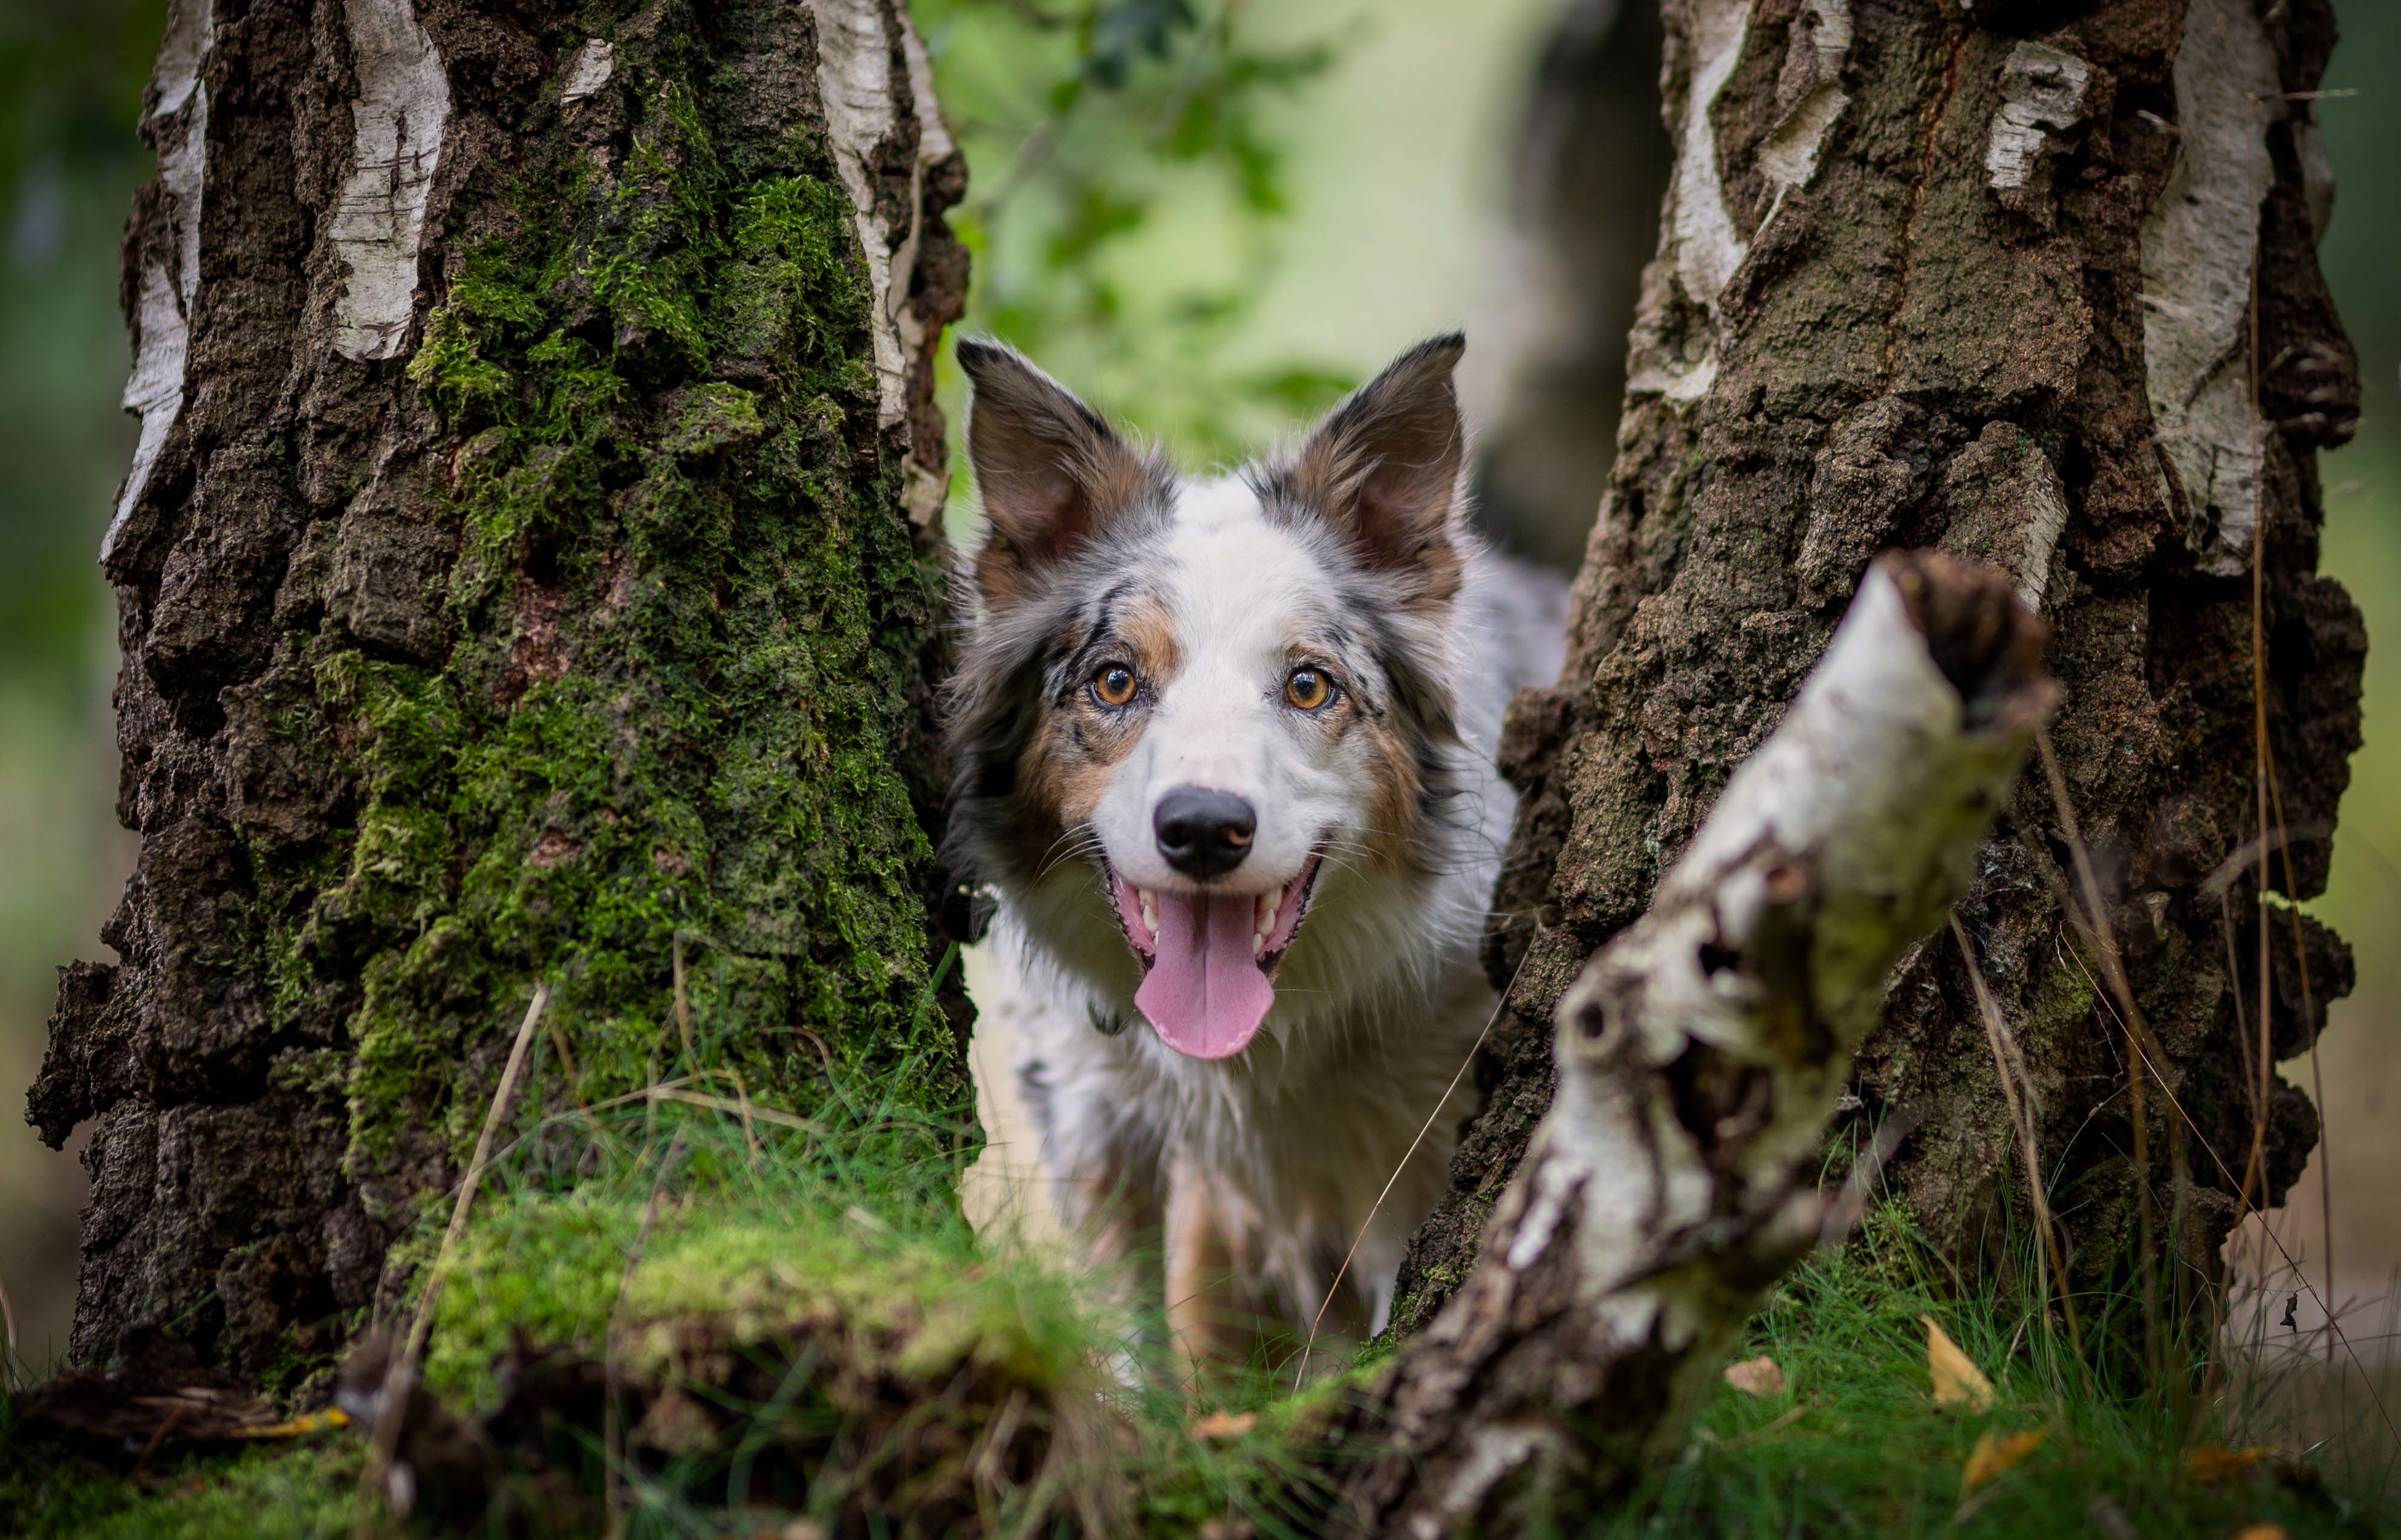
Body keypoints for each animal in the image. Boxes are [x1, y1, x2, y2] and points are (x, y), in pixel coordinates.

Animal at [936, 336, 1574, 1364]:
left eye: (1310, 685)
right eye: (1114, 681)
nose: (1203, 827)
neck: (1252, 1049)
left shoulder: (1419, 1136)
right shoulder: (1085, 1104)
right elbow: (1129, 1334)